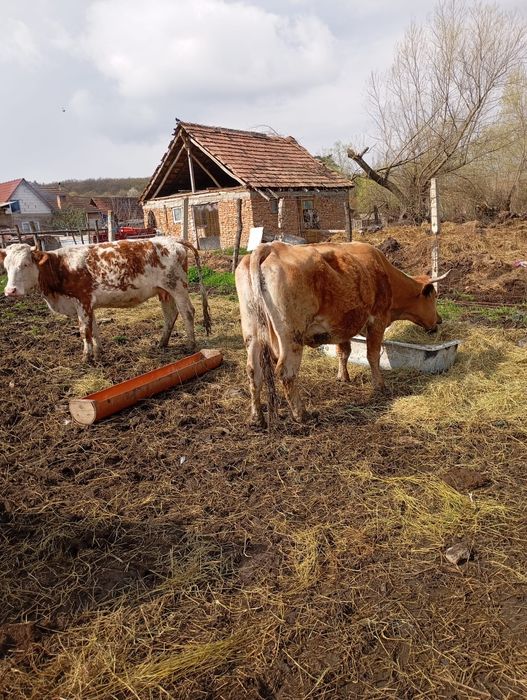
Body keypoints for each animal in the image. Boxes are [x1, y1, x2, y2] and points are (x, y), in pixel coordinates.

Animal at [0, 237, 211, 362]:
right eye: (6, 266)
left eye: (25, 264)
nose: (10, 290)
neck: (60, 267)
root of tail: (172, 239)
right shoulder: (88, 305)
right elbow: (94, 330)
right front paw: (98, 353)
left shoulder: (82, 300)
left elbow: (84, 331)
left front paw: (86, 357)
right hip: (164, 290)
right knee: (170, 314)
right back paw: (162, 343)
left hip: (177, 287)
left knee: (187, 312)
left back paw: (190, 345)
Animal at [235, 240, 448, 426]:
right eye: (434, 296)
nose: (439, 320)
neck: (385, 274)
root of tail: (270, 247)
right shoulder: (377, 320)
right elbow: (372, 356)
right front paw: (380, 386)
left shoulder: (342, 324)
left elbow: (343, 351)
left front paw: (342, 377)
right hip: (291, 336)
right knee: (286, 372)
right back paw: (302, 415)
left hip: (252, 333)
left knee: (253, 371)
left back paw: (256, 418)